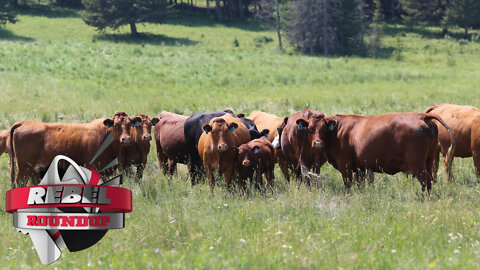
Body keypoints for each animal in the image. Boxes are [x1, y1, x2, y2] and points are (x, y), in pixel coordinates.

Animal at [322, 113, 454, 193]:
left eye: (322, 126)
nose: (318, 142)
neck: (338, 130)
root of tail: (422, 116)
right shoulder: (360, 168)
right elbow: (360, 184)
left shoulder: (345, 167)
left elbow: (348, 185)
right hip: (429, 160)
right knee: (430, 179)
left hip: (417, 165)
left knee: (425, 180)